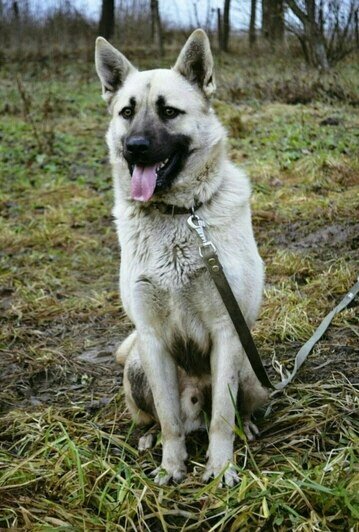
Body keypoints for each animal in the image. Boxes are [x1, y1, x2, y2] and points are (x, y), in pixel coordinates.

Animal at [94, 29, 268, 486]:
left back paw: (247, 429)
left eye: (169, 112)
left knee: (231, 410)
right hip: (136, 367)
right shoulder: (152, 339)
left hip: (251, 371)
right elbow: (170, 417)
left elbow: (222, 416)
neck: (178, 215)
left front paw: (220, 466)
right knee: (158, 417)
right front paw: (172, 465)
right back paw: (149, 440)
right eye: (126, 112)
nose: (134, 148)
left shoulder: (227, 331)